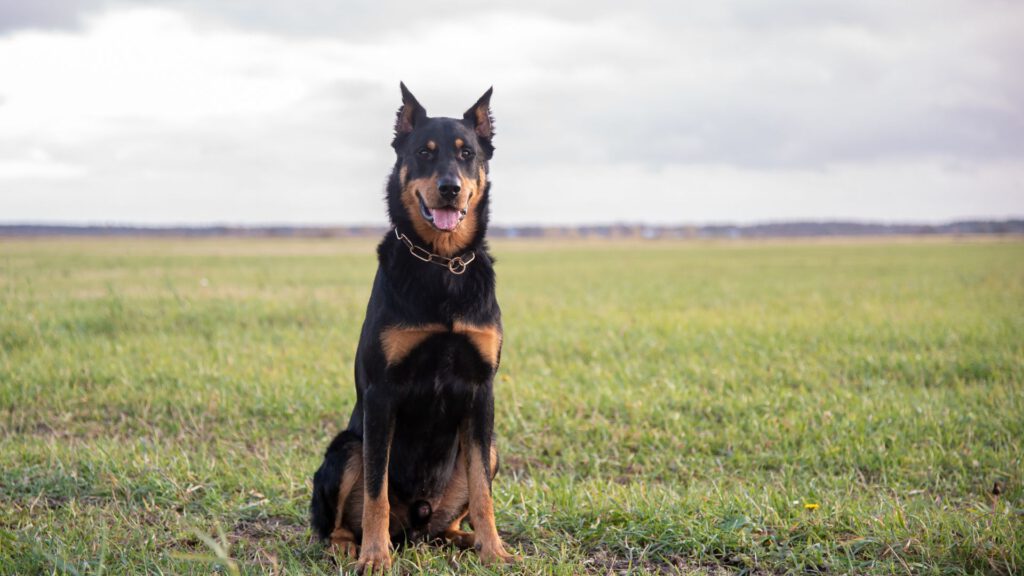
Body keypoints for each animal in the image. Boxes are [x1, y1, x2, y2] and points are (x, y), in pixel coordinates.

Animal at [305, 83, 509, 569]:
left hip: (490, 450)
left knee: (453, 514)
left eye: (467, 154)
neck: (442, 263)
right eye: (423, 153)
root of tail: (414, 525)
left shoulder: (481, 392)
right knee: (339, 519)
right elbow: (375, 493)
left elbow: (483, 492)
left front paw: (494, 550)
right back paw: (349, 546)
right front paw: (375, 558)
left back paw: (464, 538)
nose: (450, 188)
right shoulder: (382, 394)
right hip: (345, 448)